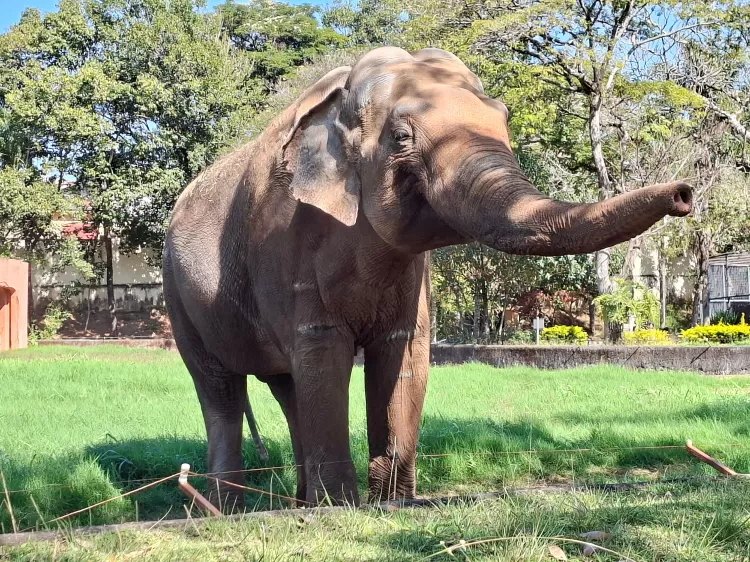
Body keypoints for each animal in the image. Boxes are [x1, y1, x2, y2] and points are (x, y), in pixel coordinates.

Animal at [162, 46, 693, 510]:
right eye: (401, 136)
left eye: (503, 119)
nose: (684, 195)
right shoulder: (288, 244)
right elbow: (323, 352)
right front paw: (342, 509)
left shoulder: (410, 274)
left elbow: (403, 355)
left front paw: (393, 504)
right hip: (176, 293)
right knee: (221, 390)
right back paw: (229, 509)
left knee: (287, 387)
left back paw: (294, 503)